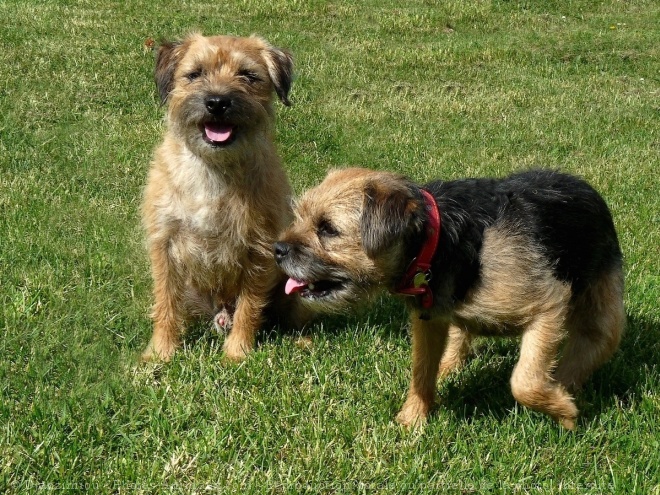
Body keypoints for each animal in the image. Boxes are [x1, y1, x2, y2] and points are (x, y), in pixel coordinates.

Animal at [143, 33, 302, 362]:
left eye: (248, 76)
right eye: (195, 74)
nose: (217, 102)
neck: (213, 169)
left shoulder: (259, 247)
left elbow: (250, 305)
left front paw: (237, 353)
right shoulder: (164, 243)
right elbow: (165, 300)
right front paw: (161, 351)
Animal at [274, 168, 624, 430]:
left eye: (327, 229)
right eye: (300, 216)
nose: (278, 249)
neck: (438, 239)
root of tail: (586, 188)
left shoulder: (547, 305)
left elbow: (524, 381)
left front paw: (563, 409)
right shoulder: (429, 319)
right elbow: (421, 368)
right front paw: (413, 419)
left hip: (602, 311)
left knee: (587, 348)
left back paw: (567, 387)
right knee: (458, 336)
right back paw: (449, 367)